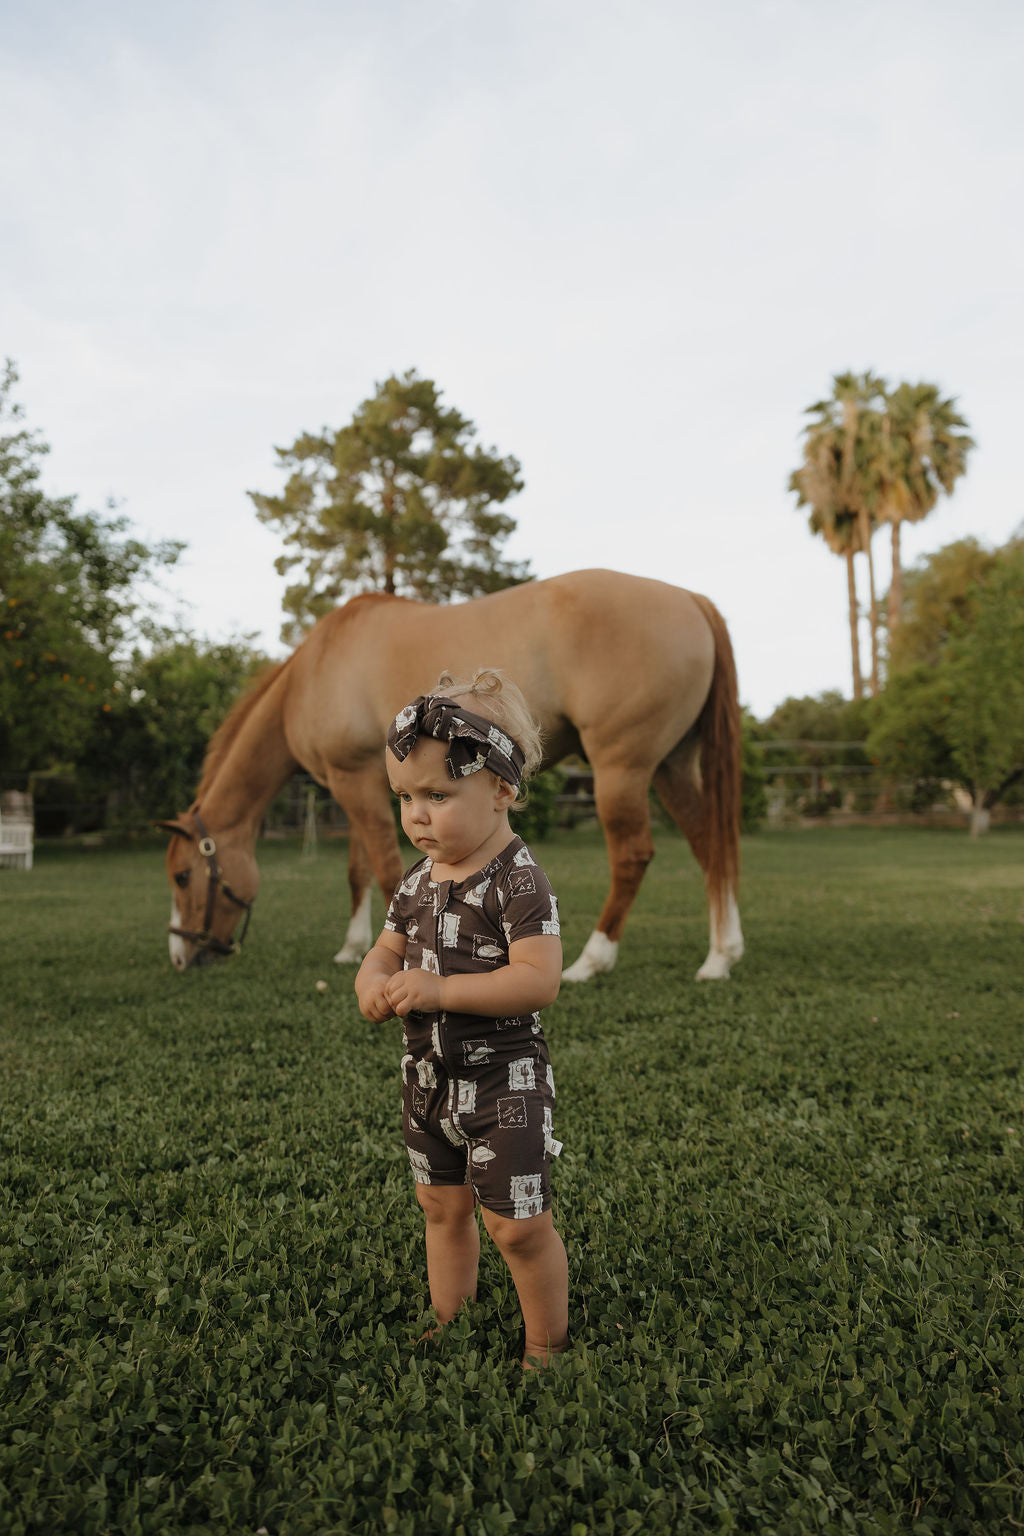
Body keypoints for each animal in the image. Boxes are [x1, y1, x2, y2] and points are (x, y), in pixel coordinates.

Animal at [159, 568, 744, 982]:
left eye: (182, 876)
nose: (181, 955)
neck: (317, 670)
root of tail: (691, 600)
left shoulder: (353, 783)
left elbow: (384, 867)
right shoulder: (361, 785)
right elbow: (356, 870)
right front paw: (351, 947)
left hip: (622, 769)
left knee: (632, 856)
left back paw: (593, 960)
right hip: (671, 767)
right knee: (709, 844)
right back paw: (721, 955)